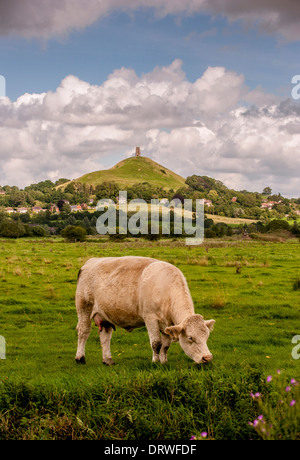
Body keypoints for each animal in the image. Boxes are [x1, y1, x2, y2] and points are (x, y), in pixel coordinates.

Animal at [75, 255, 216, 366]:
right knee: (83, 332)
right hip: (84, 308)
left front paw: (164, 362)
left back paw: (108, 360)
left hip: (105, 316)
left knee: (105, 336)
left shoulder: (167, 324)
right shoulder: (150, 318)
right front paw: (155, 362)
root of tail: (91, 262)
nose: (207, 357)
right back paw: (80, 358)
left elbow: (165, 345)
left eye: (207, 336)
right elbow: (156, 343)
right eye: (190, 338)